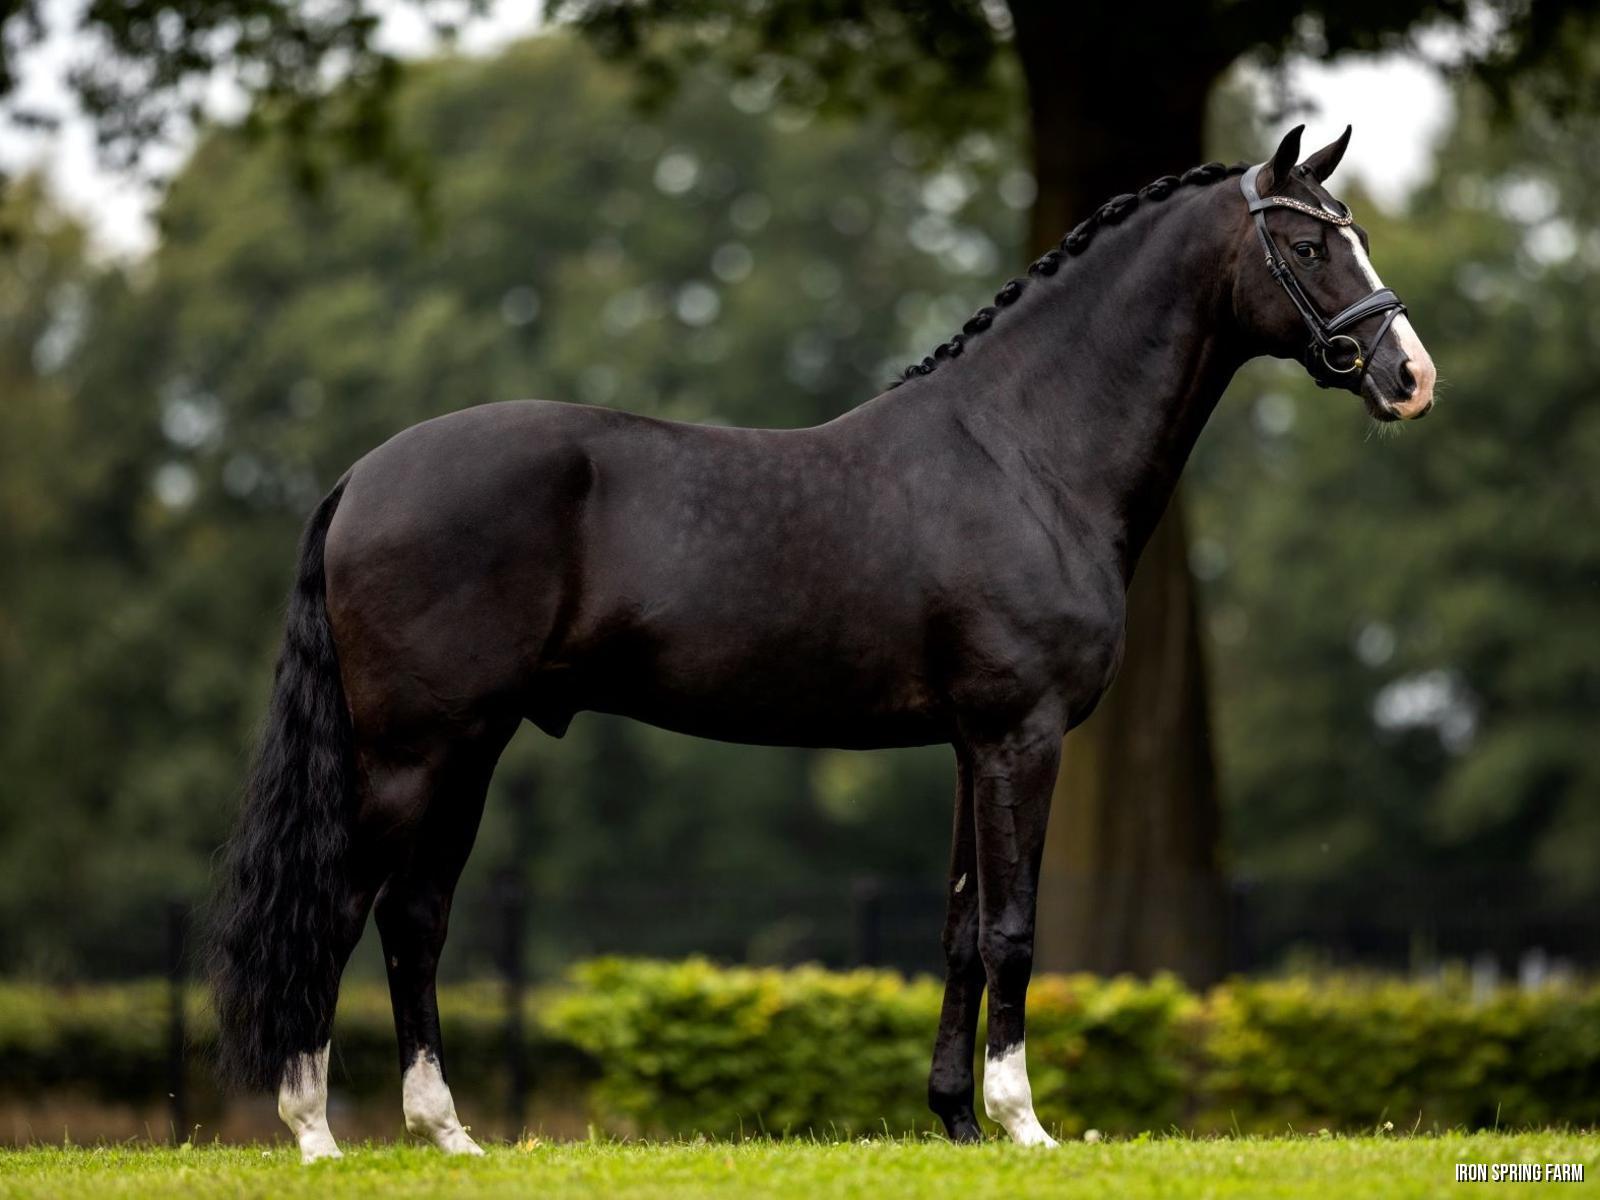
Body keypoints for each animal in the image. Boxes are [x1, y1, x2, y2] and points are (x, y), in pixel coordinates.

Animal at [209, 124, 1436, 1159]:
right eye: (1307, 243)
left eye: (1356, 235)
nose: (1410, 377)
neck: (1026, 454)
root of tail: (364, 477)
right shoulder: (1022, 736)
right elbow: (1013, 930)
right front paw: (1024, 1124)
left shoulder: (969, 746)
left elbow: (960, 931)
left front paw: (955, 1121)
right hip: (417, 749)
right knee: (342, 907)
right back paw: (315, 1133)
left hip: (469, 747)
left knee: (414, 917)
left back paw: (447, 1135)